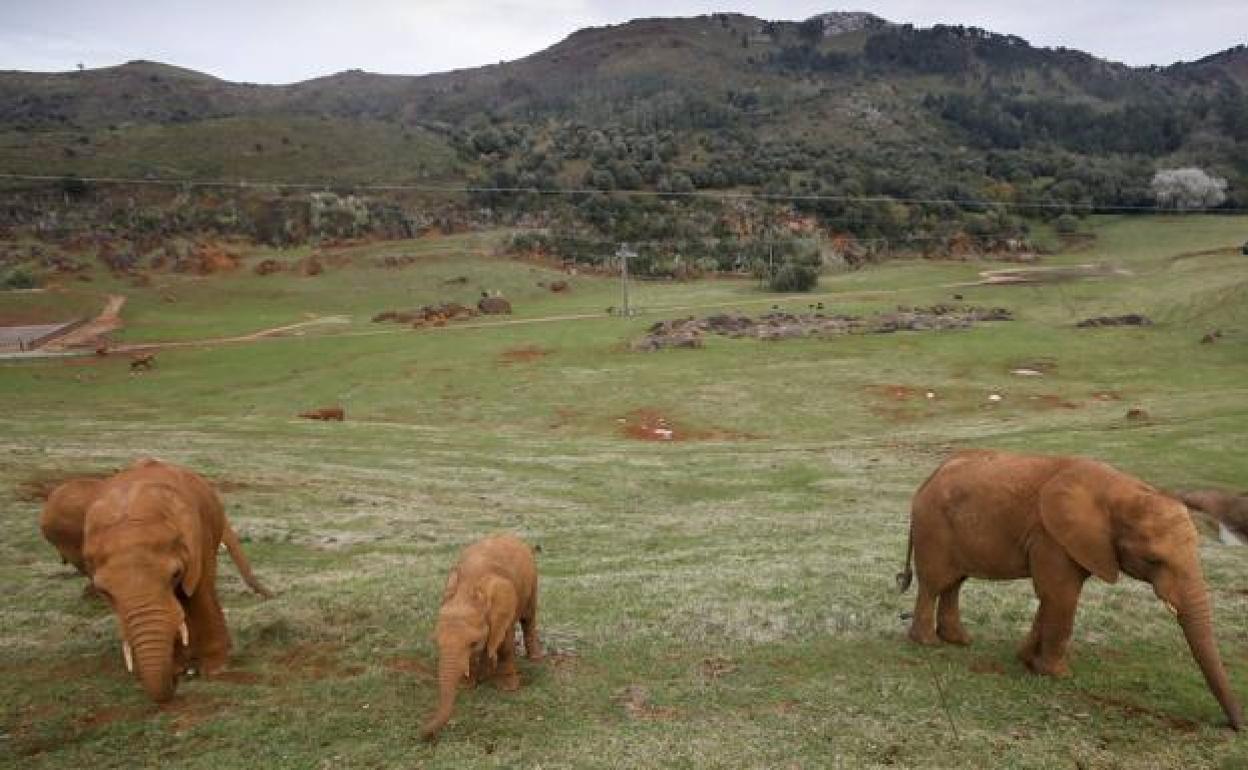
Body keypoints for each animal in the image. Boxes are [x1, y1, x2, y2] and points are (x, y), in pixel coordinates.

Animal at [83, 459, 265, 698]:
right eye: (104, 591)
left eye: (175, 574)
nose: (177, 679)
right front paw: (179, 667)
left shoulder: (199, 535)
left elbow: (198, 592)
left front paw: (215, 669)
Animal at [421, 534, 544, 738]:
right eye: (436, 642)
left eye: (473, 643)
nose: (421, 732)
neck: (468, 586)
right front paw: (469, 685)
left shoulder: (504, 608)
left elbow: (503, 643)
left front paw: (508, 688)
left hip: (533, 581)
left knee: (528, 618)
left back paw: (535, 658)